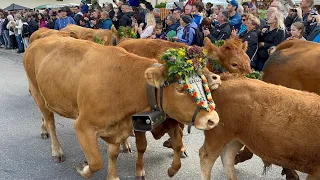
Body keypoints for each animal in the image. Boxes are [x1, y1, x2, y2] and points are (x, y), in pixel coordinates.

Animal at [23, 35, 221, 179]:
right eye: (180, 88)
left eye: (201, 82)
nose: (213, 119)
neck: (124, 80)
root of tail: (39, 40)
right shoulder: (83, 126)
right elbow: (96, 162)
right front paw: (82, 168)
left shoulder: (119, 127)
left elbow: (113, 153)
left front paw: (113, 176)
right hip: (38, 92)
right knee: (50, 122)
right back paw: (56, 149)